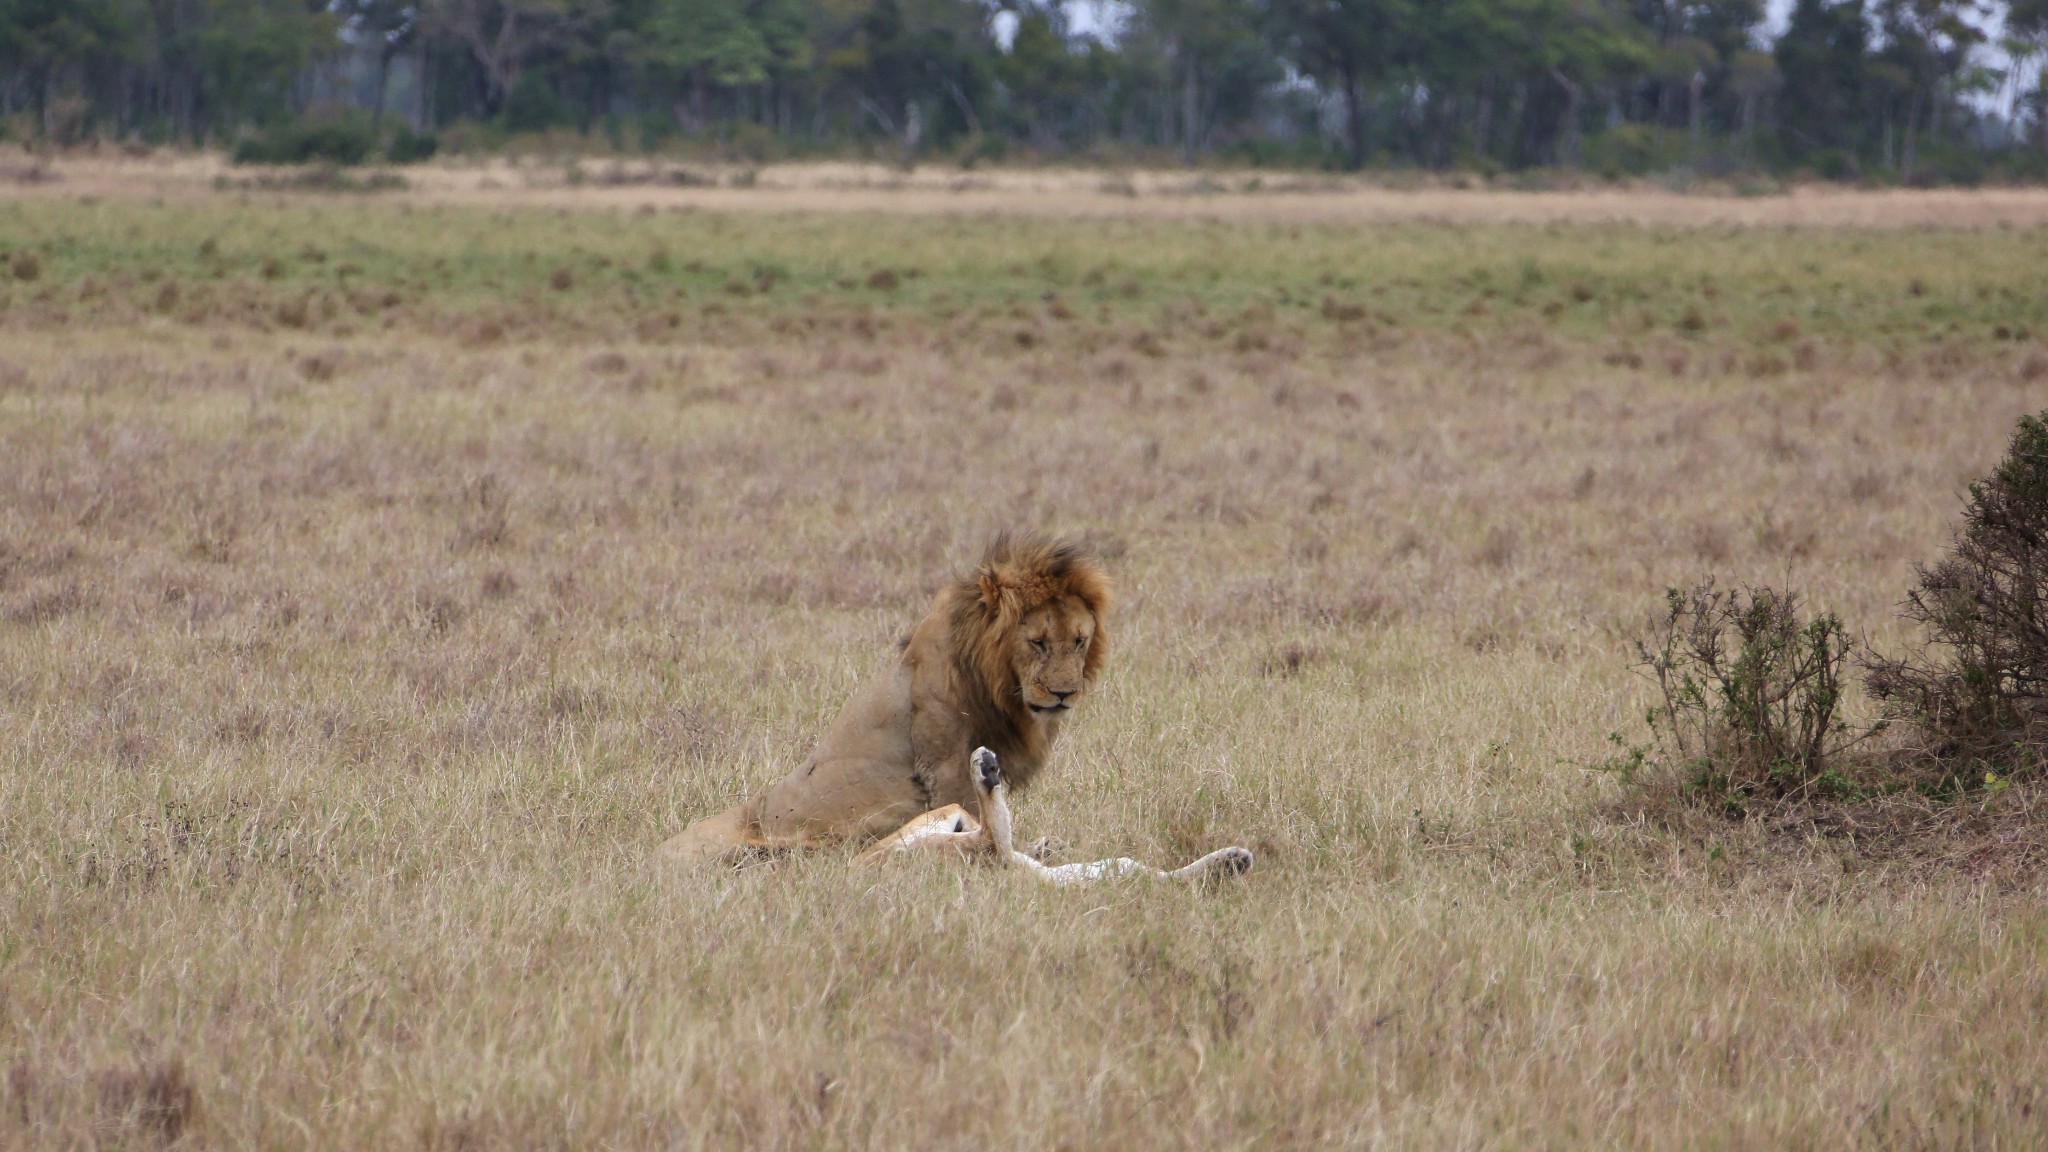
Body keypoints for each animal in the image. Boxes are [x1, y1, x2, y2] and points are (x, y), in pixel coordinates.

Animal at [659, 528, 1114, 860]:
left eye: (1079, 641)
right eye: (1037, 642)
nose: (1064, 693)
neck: (998, 686)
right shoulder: (945, 765)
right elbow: (976, 809)